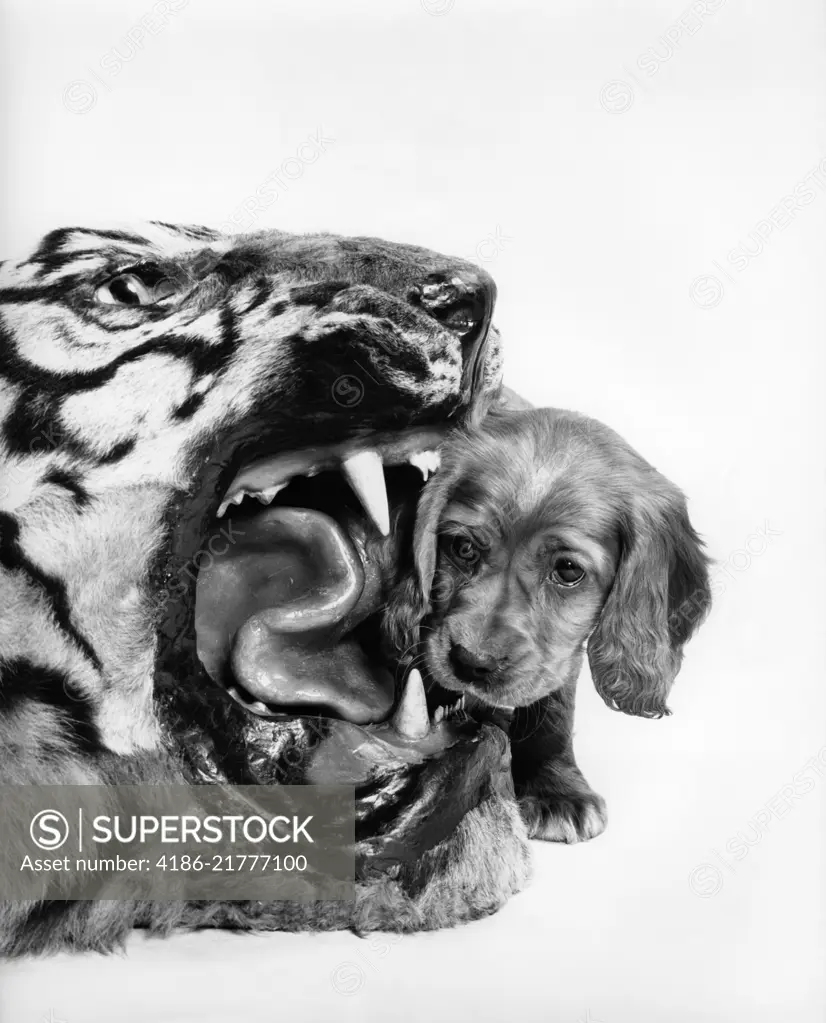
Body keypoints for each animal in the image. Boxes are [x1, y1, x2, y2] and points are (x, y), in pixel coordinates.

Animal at [384, 403, 712, 842]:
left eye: (568, 570)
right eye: (463, 547)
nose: (471, 663)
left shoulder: (558, 657)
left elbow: (553, 709)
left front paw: (554, 788)